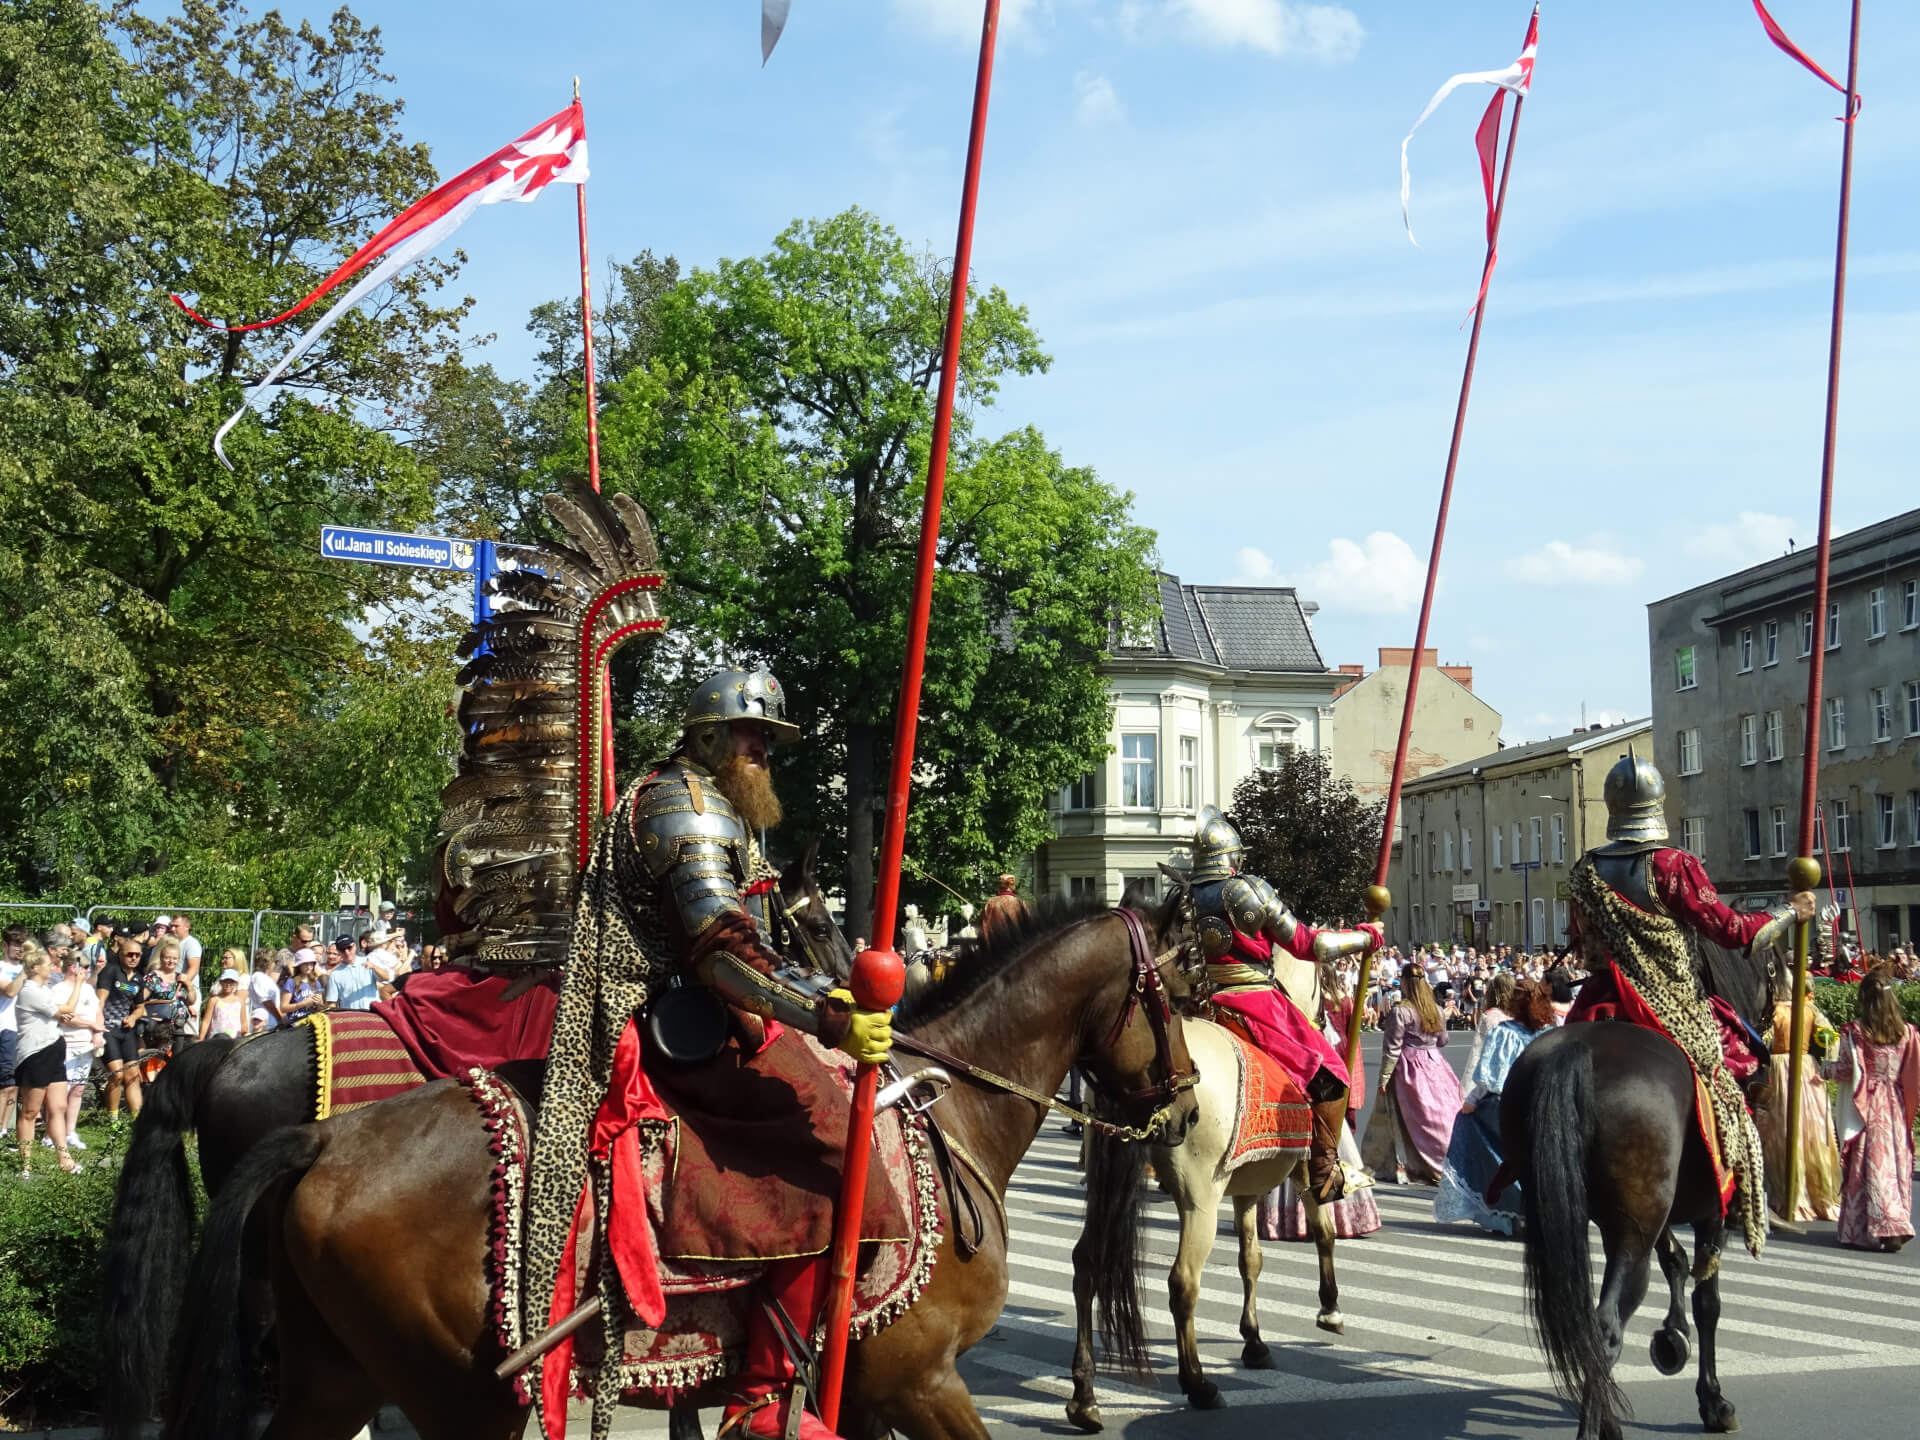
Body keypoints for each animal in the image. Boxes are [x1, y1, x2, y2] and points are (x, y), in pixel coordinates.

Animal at [161, 902, 1198, 1440]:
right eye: (1176, 992)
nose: (1189, 1104)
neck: (952, 1109)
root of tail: (326, 1142)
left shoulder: (865, 1396)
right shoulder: (923, 1385)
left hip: (333, 1376)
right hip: (457, 1399)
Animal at [1067, 1013, 1351, 1436]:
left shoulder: (1246, 1189)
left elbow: (1251, 1260)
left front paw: (1254, 1341)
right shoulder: (1303, 1171)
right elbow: (1324, 1234)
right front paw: (1329, 1309)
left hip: (1105, 1183)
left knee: (1086, 1264)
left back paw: (1084, 1397)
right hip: (1200, 1201)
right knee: (1183, 1282)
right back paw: (1198, 1384)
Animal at [1505, 1029, 1751, 1440]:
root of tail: (1577, 1048)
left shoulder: (1661, 1218)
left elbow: (1675, 1260)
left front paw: (1672, 1337)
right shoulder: (1710, 1216)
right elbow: (1708, 1304)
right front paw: (1714, 1402)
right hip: (1632, 1239)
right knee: (1606, 1329)